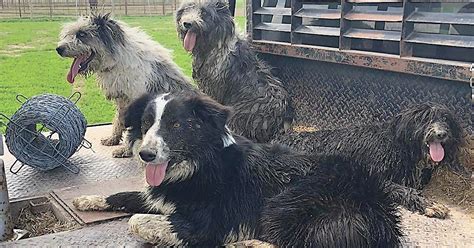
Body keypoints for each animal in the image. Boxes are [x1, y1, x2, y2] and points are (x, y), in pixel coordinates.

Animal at [56, 13, 193, 157]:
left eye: (82, 34)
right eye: (69, 34)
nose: (59, 49)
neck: (115, 60)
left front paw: (126, 149)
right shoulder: (122, 99)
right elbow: (119, 120)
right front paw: (113, 139)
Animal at [274, 102, 470, 219]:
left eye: (445, 118)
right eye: (424, 119)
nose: (441, 134)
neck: (399, 146)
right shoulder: (376, 177)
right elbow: (403, 190)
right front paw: (429, 204)